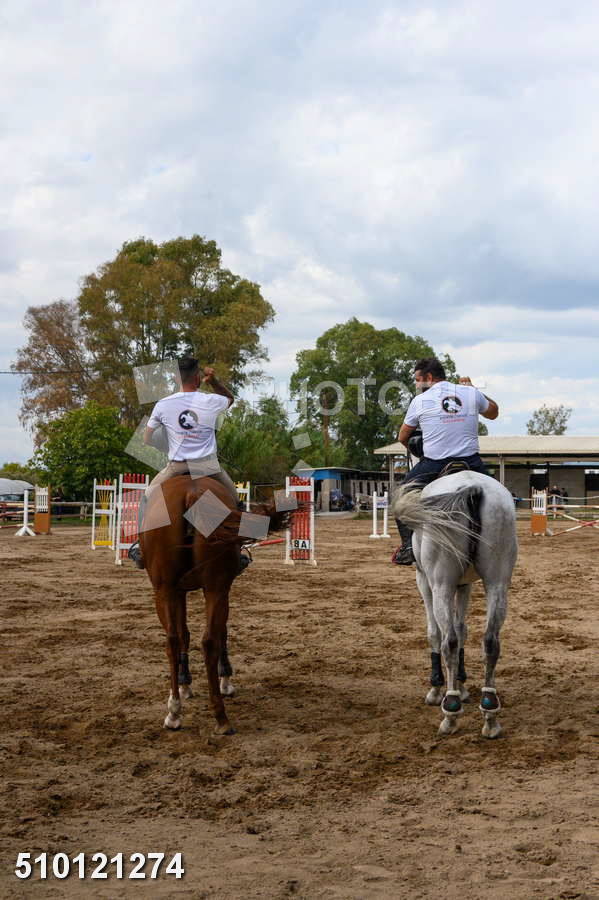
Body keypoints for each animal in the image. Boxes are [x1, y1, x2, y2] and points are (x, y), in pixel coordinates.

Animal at [140, 475, 291, 734]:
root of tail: (191, 493)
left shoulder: (181, 591)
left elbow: (189, 634)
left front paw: (191, 684)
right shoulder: (192, 591)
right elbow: (198, 633)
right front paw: (199, 682)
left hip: (173, 590)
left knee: (182, 640)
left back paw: (178, 712)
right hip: (208, 588)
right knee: (203, 639)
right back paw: (214, 715)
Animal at [394, 471, 518, 738]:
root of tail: (471, 487)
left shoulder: (424, 581)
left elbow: (435, 633)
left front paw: (438, 689)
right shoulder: (465, 585)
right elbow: (463, 630)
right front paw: (461, 685)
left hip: (441, 584)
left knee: (447, 640)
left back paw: (450, 712)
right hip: (497, 583)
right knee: (490, 641)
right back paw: (490, 714)